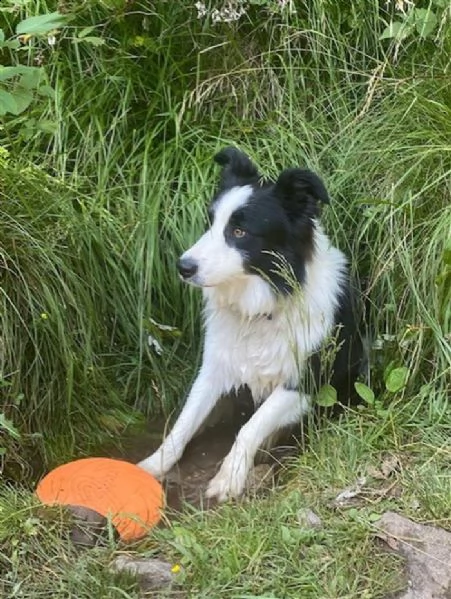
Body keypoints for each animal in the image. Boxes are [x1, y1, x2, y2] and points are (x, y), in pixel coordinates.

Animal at [139, 149, 366, 502]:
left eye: (239, 232)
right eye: (210, 223)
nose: (183, 267)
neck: (261, 306)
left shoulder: (304, 380)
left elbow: (251, 427)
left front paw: (229, 477)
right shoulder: (215, 366)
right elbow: (184, 421)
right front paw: (154, 464)